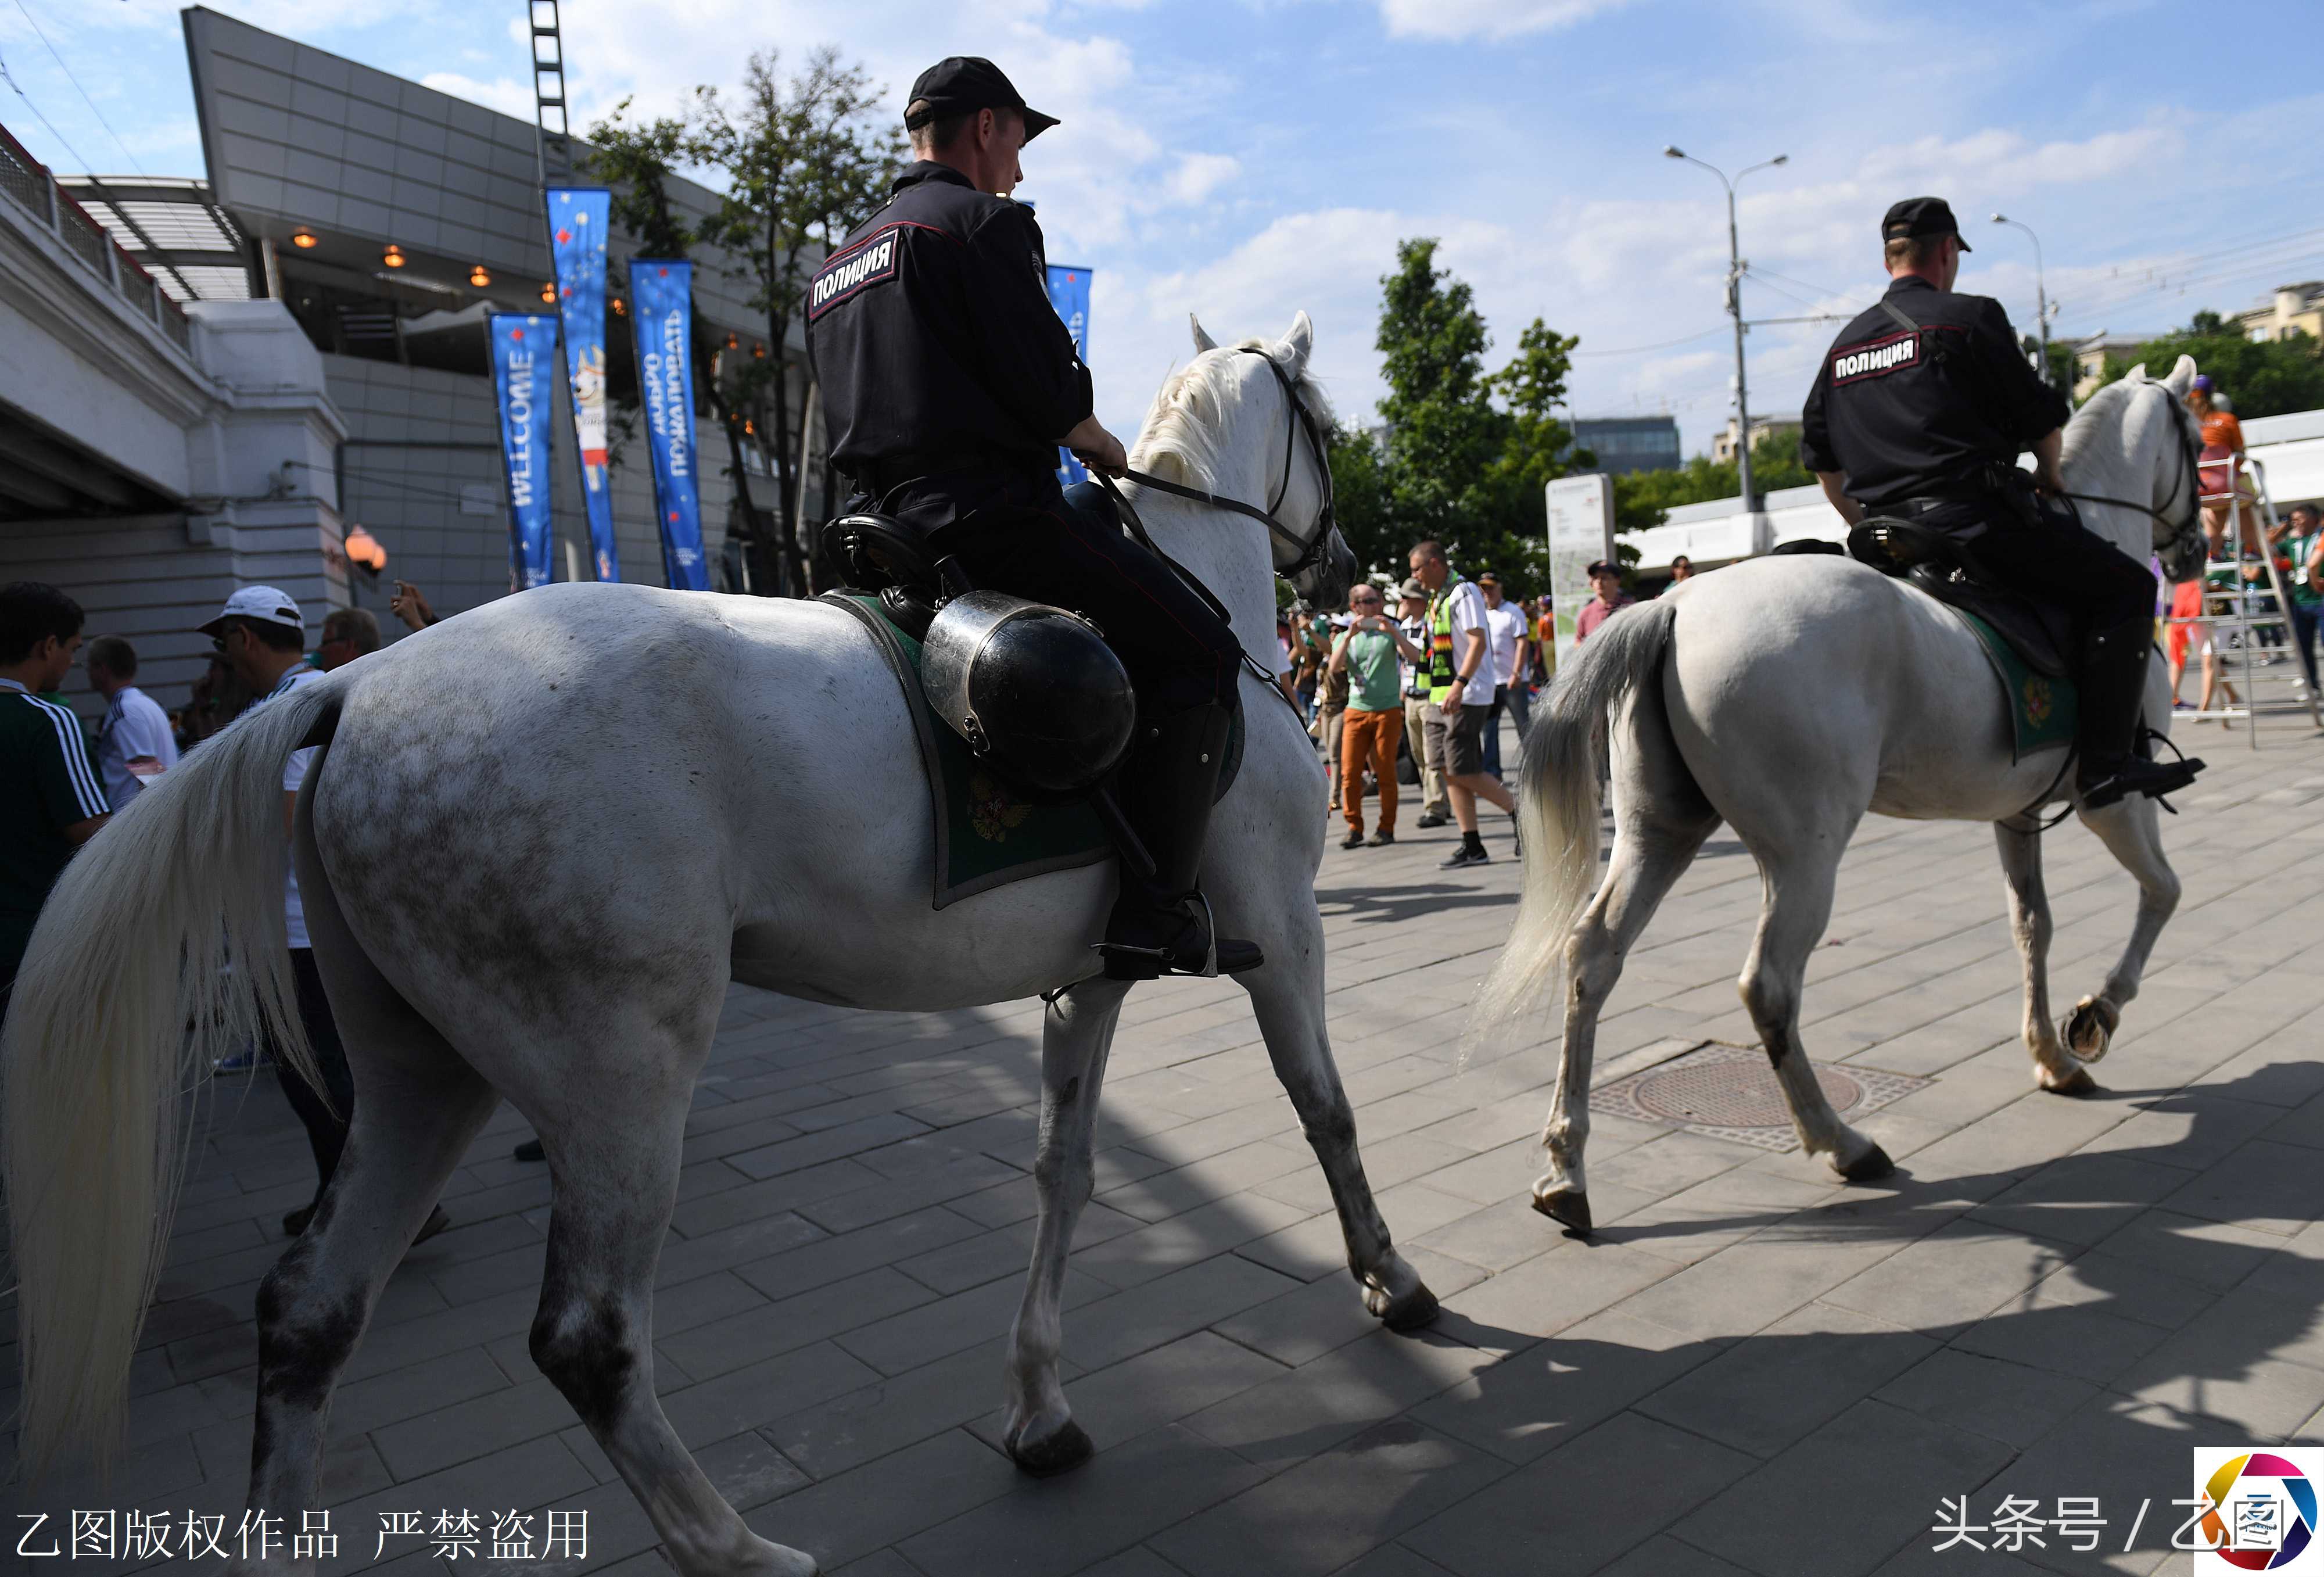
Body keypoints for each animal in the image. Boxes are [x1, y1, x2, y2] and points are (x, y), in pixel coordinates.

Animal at [4, 314, 1432, 1572]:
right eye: (1326, 421)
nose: (1342, 559)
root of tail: (351, 686)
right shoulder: (1280, 928)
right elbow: (1327, 1108)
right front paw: (1392, 1280)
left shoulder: (1088, 978)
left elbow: (1064, 1172)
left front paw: (1038, 1400)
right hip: (617, 1077)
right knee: (588, 1338)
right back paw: (732, 1545)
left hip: (421, 1072)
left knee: (312, 1310)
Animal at [1478, 358, 2203, 1237]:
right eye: (2199, 435)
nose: (2197, 548)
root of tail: (1674, 603)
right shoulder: (2115, 800)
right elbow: (2162, 893)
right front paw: (2096, 1014)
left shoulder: (2017, 811)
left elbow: (2032, 926)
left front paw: (2052, 1055)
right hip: (1803, 853)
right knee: (1769, 985)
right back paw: (1841, 1142)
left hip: (1661, 830)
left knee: (1593, 956)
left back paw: (1566, 1169)